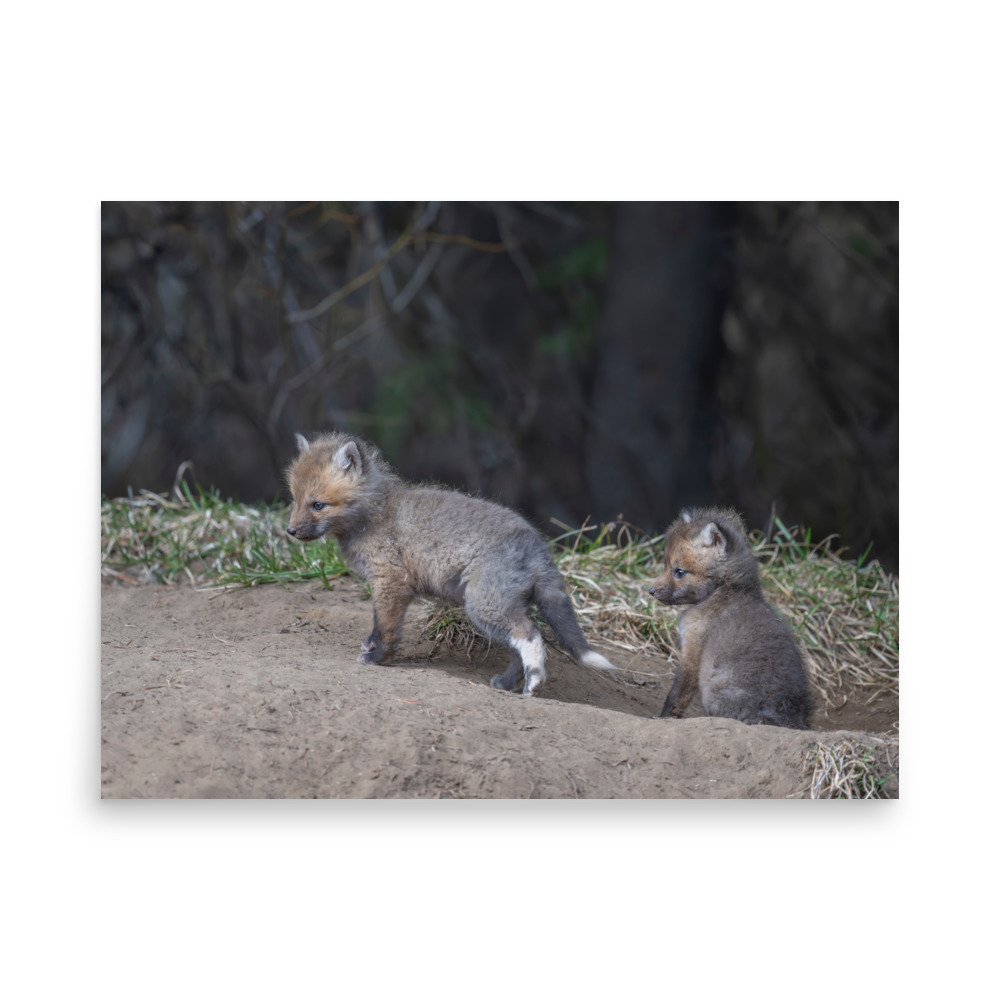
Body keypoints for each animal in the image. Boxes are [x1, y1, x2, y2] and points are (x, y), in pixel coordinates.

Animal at [285, 431, 616, 695]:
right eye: (294, 500)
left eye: (318, 505)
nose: (290, 531)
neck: (374, 513)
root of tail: (537, 546)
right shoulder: (387, 585)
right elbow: (378, 623)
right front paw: (372, 646)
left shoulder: (391, 581)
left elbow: (386, 627)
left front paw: (378, 658)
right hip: (500, 607)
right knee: (516, 647)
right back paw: (508, 684)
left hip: (484, 605)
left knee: (531, 635)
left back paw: (534, 683)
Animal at [648, 506, 811, 729]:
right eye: (665, 565)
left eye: (679, 572)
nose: (651, 591)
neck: (724, 590)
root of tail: (789, 720)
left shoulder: (693, 650)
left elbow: (677, 694)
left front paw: (663, 718)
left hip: (713, 691)